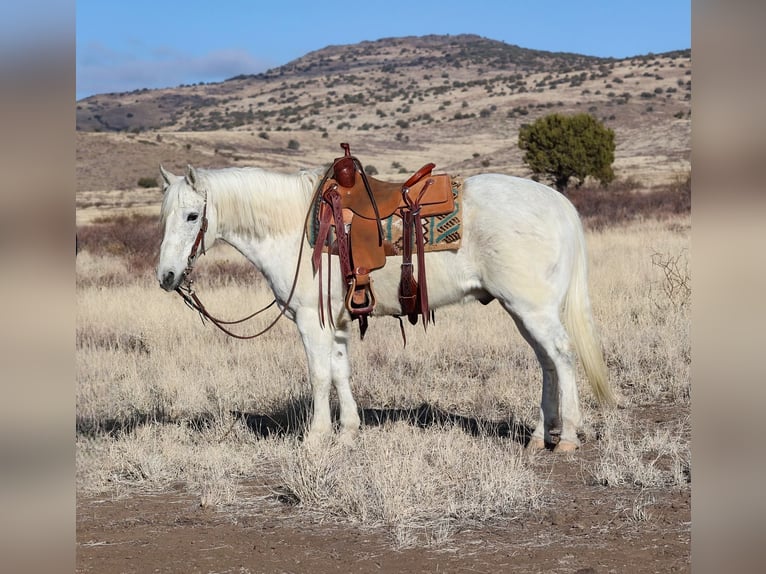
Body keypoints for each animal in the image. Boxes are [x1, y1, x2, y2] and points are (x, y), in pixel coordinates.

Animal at [158, 164, 616, 452]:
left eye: (192, 215)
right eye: (164, 217)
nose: (166, 276)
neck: (295, 227)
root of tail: (557, 203)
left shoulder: (311, 321)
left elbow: (319, 375)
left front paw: (315, 438)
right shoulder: (338, 322)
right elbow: (341, 371)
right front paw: (348, 433)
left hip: (533, 309)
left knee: (561, 355)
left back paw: (568, 436)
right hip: (523, 310)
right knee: (547, 363)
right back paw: (540, 435)